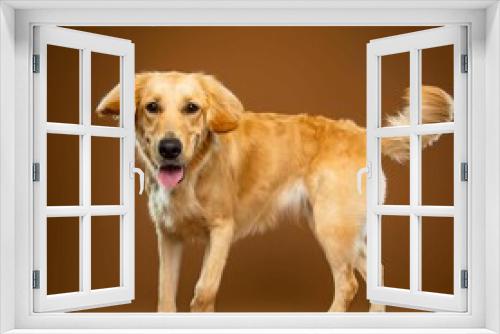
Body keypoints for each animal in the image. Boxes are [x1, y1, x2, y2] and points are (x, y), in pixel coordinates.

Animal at [96, 72, 454, 312]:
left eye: (192, 108)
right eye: (152, 107)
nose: (169, 149)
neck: (195, 170)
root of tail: (360, 132)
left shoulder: (221, 230)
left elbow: (204, 292)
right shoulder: (169, 235)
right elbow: (165, 296)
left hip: (333, 228)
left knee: (348, 283)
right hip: (336, 228)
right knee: (374, 272)